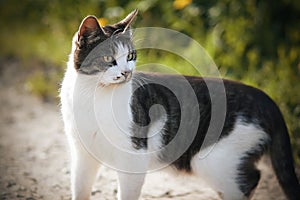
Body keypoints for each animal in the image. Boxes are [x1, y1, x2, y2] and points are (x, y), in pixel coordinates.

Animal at [59, 9, 300, 200]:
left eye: (130, 56)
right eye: (108, 59)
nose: (126, 72)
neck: (92, 96)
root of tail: (265, 97)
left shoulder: (133, 158)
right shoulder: (81, 156)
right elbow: (80, 189)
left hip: (214, 160)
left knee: (251, 178)